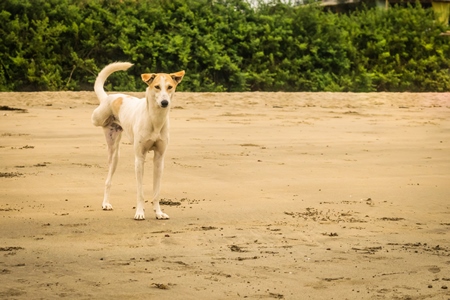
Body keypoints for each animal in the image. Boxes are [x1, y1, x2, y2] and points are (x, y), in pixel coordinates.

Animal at [91, 61, 185, 220]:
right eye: (157, 86)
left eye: (170, 87)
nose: (164, 102)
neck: (155, 119)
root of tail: (110, 97)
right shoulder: (139, 159)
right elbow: (140, 192)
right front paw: (140, 212)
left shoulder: (159, 159)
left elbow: (156, 191)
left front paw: (158, 212)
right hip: (102, 126)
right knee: (108, 180)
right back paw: (105, 203)